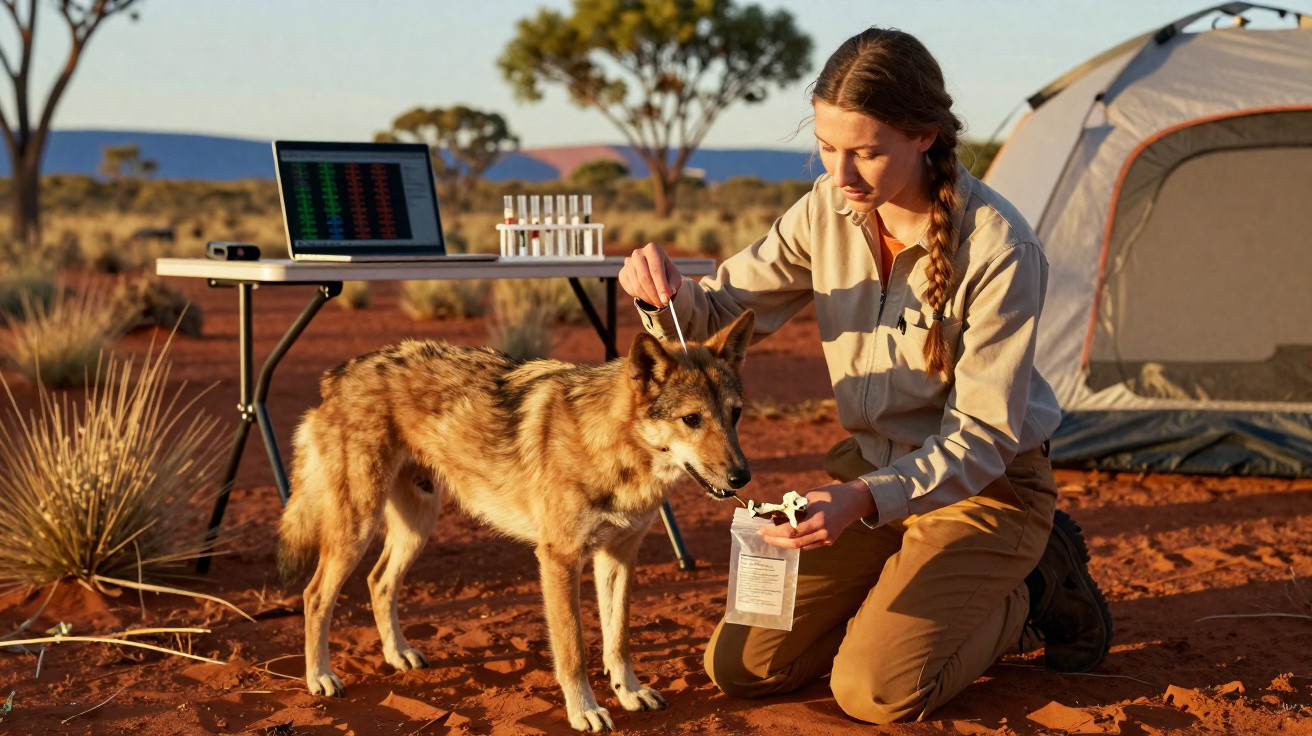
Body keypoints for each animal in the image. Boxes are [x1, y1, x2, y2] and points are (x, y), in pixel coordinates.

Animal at [278, 310, 755, 732]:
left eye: (735, 415)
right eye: (691, 419)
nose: (742, 477)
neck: (611, 446)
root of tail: (339, 374)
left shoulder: (618, 556)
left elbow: (618, 639)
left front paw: (629, 693)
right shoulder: (559, 559)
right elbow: (573, 649)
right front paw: (584, 711)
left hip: (416, 525)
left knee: (378, 581)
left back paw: (398, 655)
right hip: (357, 529)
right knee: (315, 595)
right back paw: (320, 677)